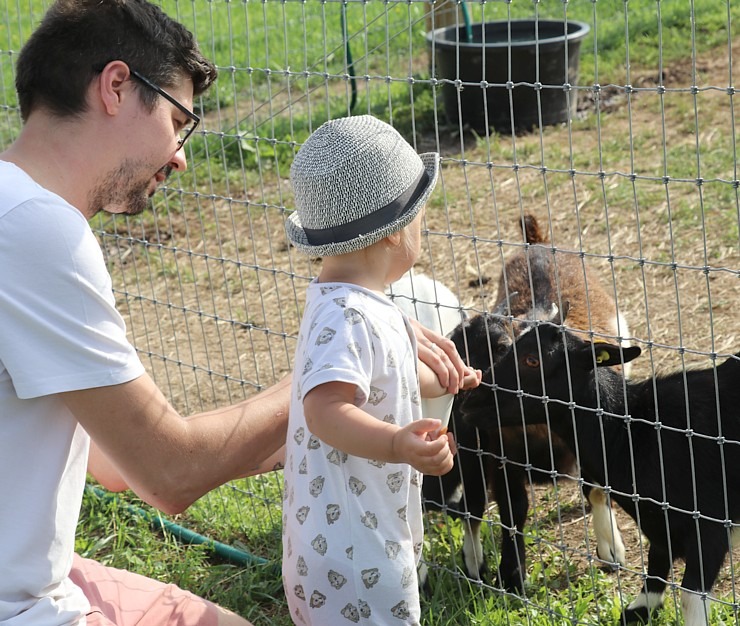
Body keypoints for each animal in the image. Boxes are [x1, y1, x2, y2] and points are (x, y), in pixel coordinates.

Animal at [462, 320, 740, 620]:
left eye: (532, 360)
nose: (469, 401)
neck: (632, 432)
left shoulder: (709, 529)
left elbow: (690, 599)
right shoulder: (659, 525)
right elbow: (655, 567)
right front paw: (641, 608)